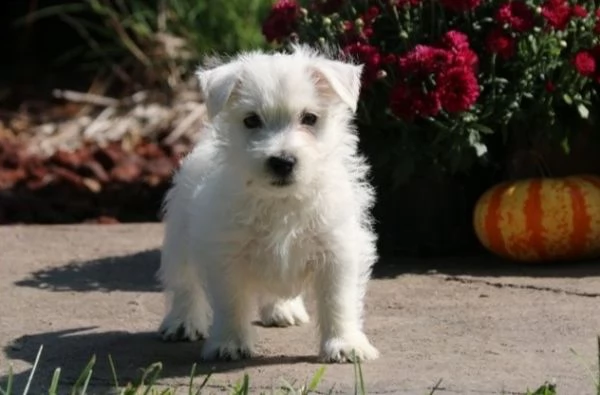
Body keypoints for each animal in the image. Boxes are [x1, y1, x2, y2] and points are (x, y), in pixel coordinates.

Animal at [157, 44, 378, 364]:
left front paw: (345, 344)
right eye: (251, 120)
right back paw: (182, 322)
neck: (281, 202)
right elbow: (232, 302)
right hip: (179, 237)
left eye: (309, 118)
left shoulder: (338, 251)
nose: (282, 161)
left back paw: (283, 310)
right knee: (184, 283)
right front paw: (230, 344)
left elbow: (338, 300)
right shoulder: (226, 254)